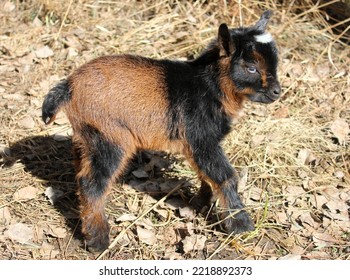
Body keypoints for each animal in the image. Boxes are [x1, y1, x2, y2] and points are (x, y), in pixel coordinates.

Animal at [41, 10, 282, 252]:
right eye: (251, 67)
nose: (276, 92)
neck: (210, 87)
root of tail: (70, 86)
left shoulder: (196, 144)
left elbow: (204, 172)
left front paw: (200, 203)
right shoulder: (202, 139)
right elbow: (225, 176)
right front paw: (241, 225)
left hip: (87, 136)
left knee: (81, 171)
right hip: (109, 136)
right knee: (92, 183)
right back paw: (98, 240)